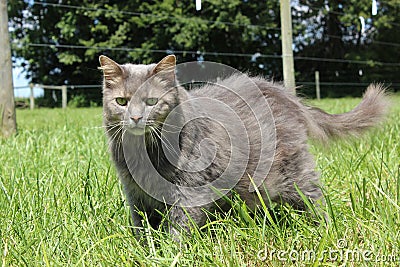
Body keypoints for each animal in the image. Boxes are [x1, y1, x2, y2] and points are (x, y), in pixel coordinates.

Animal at [98, 55, 390, 239]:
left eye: (151, 101)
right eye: (122, 101)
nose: (136, 117)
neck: (143, 152)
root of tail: (282, 92)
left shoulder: (190, 190)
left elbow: (180, 226)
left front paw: (172, 252)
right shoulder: (135, 192)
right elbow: (142, 225)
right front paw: (144, 248)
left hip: (290, 174)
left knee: (313, 197)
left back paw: (323, 229)